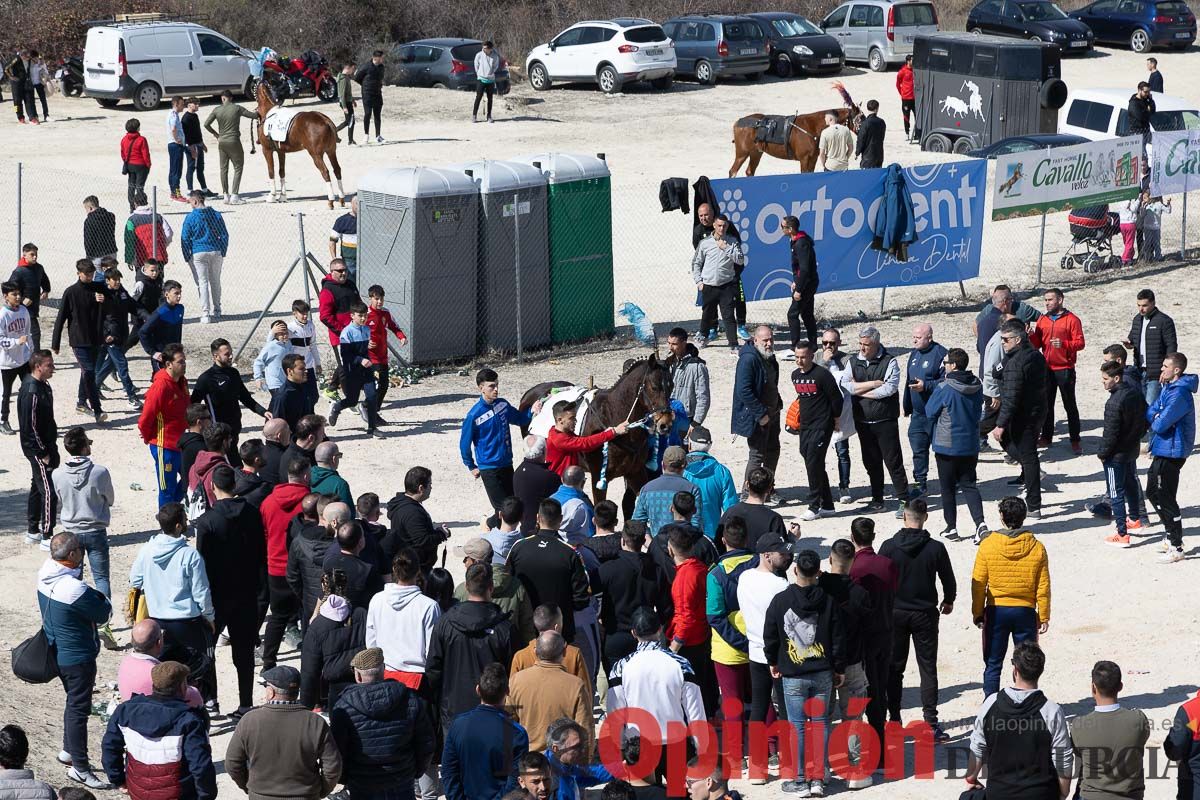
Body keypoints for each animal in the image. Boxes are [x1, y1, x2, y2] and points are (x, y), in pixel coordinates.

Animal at [520, 355, 681, 520]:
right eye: (654, 387)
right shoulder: (598, 477)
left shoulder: (635, 472)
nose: (665, 424)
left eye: (671, 386)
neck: (613, 415)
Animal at [729, 81, 864, 175]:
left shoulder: (813, 159)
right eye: (860, 119)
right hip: (742, 153)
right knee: (733, 171)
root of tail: (739, 122)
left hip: (756, 152)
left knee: (749, 172)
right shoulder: (804, 159)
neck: (812, 127)